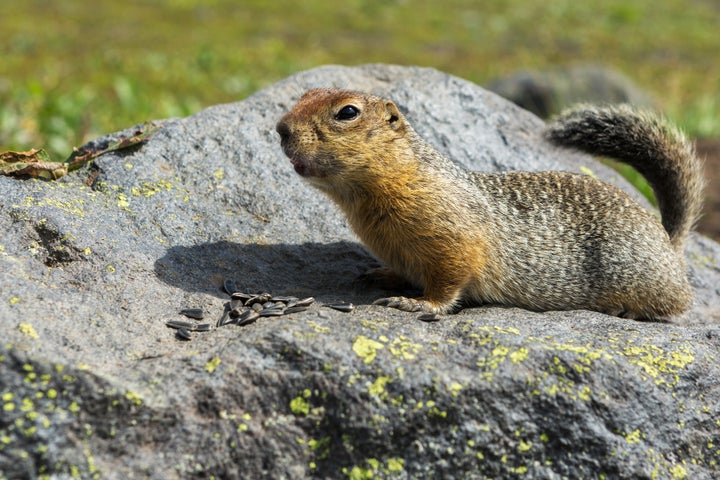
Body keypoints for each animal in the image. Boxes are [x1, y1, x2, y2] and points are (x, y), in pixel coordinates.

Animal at [274, 87, 704, 318]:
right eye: (306, 94)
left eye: (347, 112)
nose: (280, 128)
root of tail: (668, 242)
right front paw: (384, 274)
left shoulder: (454, 240)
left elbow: (449, 282)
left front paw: (417, 304)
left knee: (678, 304)